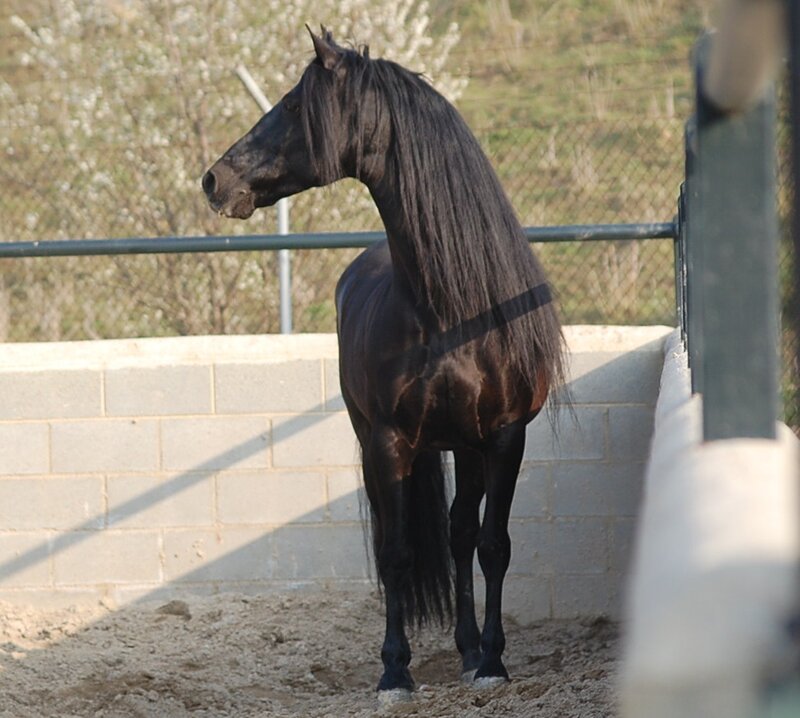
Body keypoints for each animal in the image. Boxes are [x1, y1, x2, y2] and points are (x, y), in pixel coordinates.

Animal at [203, 27, 568, 700]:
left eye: (293, 103)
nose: (215, 179)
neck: (451, 311)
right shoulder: (389, 440)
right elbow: (395, 552)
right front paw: (395, 671)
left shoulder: (505, 437)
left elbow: (493, 545)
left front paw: (493, 663)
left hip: (467, 447)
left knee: (460, 534)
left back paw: (470, 650)